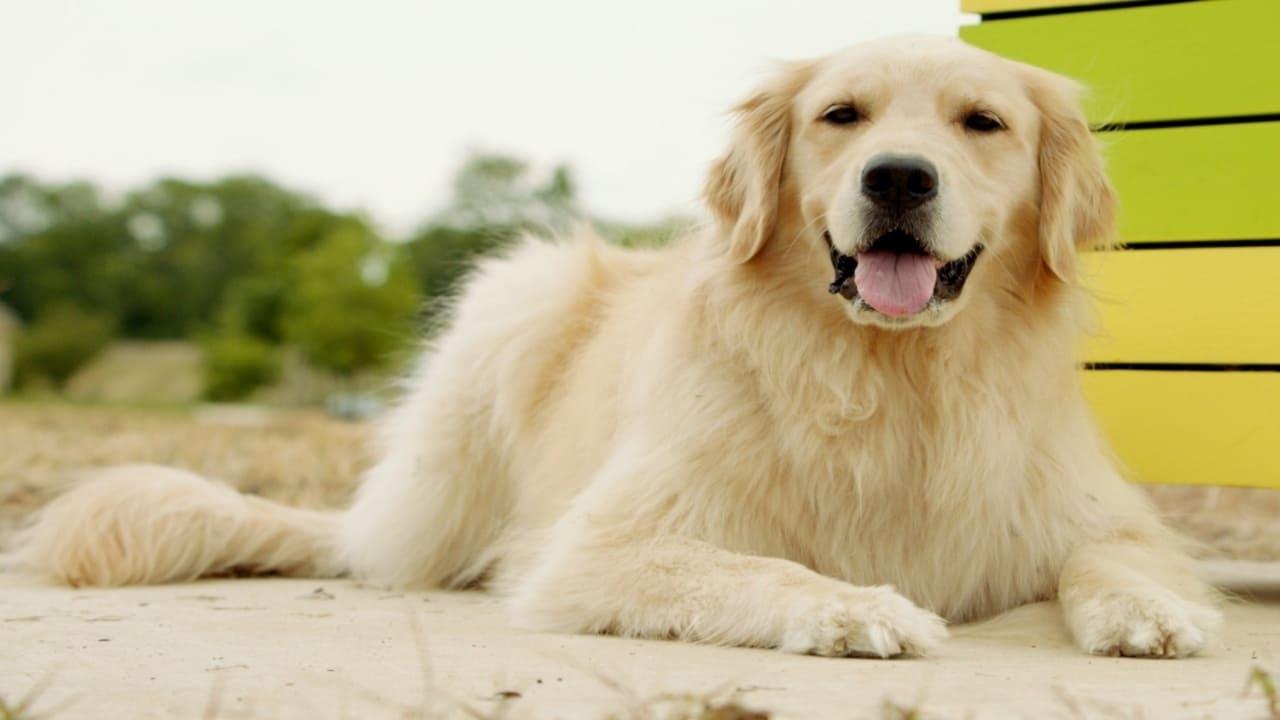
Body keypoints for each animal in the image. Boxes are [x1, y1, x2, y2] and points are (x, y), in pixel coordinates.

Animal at [17, 37, 1218, 655]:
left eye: (982, 123)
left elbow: (1118, 555)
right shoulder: (604, 542)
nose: (897, 179)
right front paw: (858, 605)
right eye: (842, 116)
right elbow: (760, 567)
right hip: (516, 297)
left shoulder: (1097, 511)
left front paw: (1152, 609)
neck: (888, 376)